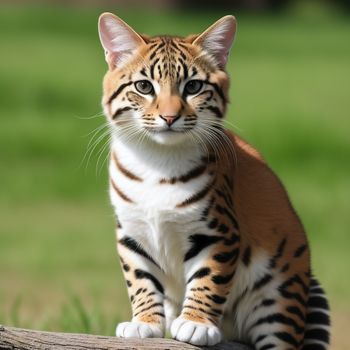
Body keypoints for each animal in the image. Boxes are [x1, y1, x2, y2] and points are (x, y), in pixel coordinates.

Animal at [96, 13, 330, 350]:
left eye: (193, 86)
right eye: (143, 86)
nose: (170, 117)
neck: (157, 160)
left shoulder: (218, 232)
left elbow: (209, 277)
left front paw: (196, 324)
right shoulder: (131, 232)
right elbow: (140, 280)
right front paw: (145, 323)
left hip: (279, 295)